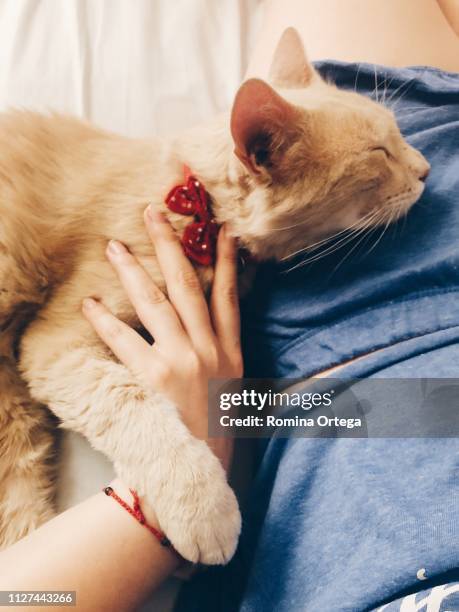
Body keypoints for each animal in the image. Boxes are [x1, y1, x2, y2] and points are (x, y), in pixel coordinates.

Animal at [0, 29, 430, 564]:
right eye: (378, 153)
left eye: (396, 134)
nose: (426, 170)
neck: (197, 202)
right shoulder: (57, 338)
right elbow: (133, 403)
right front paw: (203, 505)